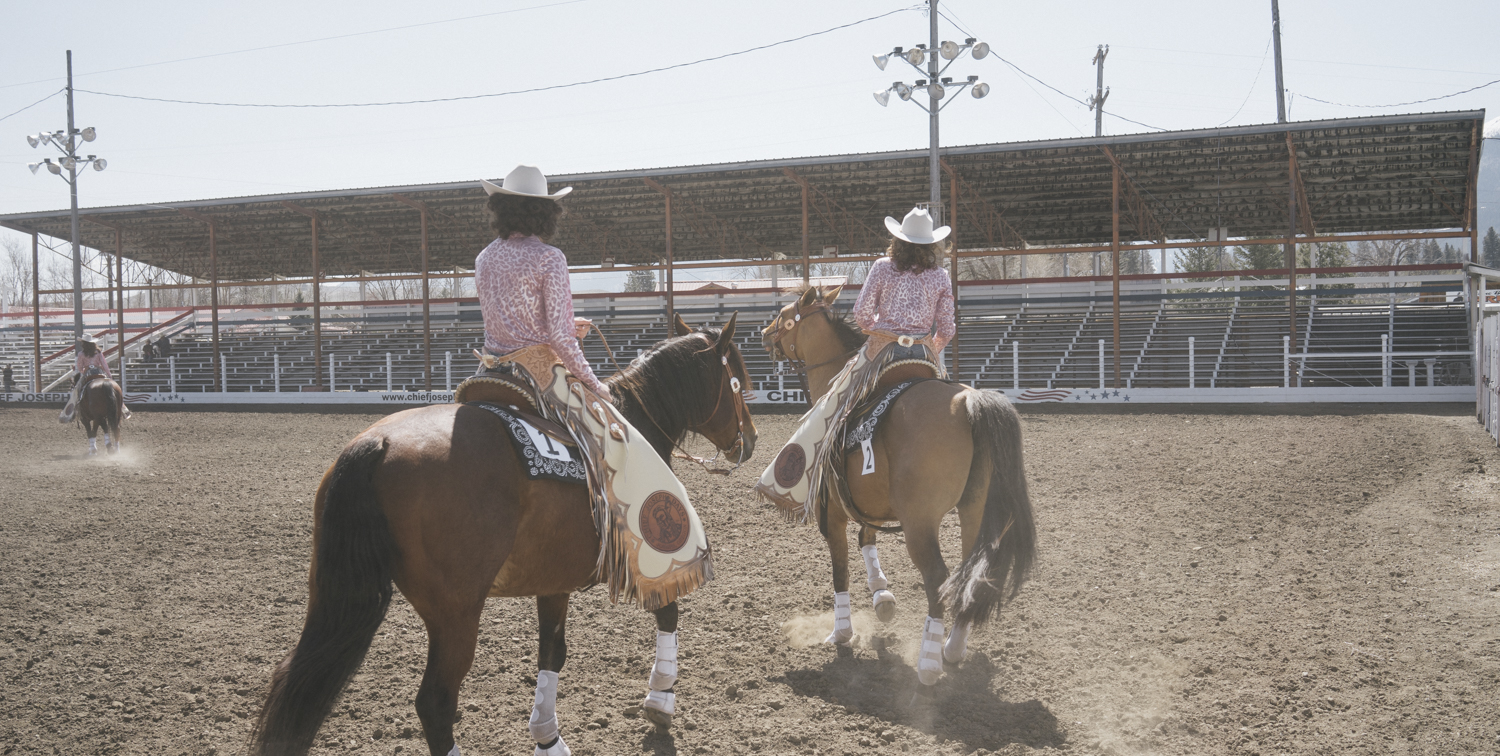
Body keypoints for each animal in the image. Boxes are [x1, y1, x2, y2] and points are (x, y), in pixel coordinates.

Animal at [253, 313, 762, 756]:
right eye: (739, 382)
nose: (752, 440)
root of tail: (376, 444)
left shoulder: (554, 580)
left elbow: (552, 652)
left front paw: (547, 737)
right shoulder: (649, 557)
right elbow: (668, 612)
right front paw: (660, 700)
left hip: (335, 595)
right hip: (456, 613)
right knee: (435, 703)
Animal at [762, 286, 1032, 687]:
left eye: (785, 316)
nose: (765, 335)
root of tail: (968, 401)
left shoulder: (833, 511)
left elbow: (840, 568)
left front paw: (841, 631)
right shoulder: (866, 502)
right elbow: (867, 539)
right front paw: (882, 595)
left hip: (919, 522)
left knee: (937, 578)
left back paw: (928, 664)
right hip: (975, 511)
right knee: (969, 573)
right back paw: (953, 649)